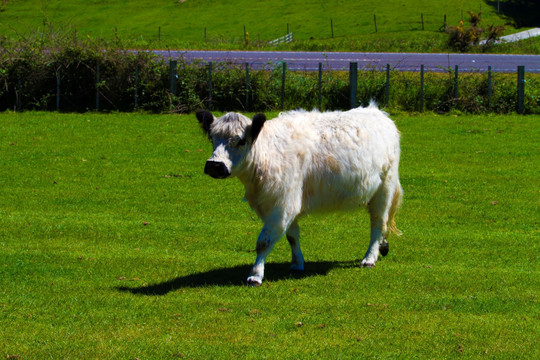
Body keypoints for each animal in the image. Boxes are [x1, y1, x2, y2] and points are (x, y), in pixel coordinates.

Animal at [195, 104, 400, 286]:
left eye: (241, 141)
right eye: (212, 138)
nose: (214, 165)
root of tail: (378, 113)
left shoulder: (282, 205)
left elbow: (264, 242)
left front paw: (255, 275)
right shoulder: (286, 204)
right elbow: (292, 236)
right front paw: (297, 264)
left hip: (384, 189)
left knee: (378, 223)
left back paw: (370, 257)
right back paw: (382, 246)